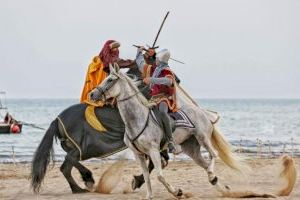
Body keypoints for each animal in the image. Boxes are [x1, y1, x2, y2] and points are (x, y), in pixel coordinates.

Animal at [31, 67, 170, 194]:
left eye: (110, 80)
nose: (92, 94)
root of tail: (58, 119)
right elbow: (155, 163)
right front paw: (138, 181)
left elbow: (156, 162)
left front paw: (138, 181)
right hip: (79, 148)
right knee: (67, 163)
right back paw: (85, 181)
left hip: (73, 148)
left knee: (66, 166)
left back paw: (81, 184)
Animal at [90, 64, 245, 200]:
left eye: (110, 80)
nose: (92, 94)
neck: (137, 119)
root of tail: (203, 112)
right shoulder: (138, 154)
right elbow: (146, 175)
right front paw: (149, 195)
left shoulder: (153, 151)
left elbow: (159, 175)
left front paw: (177, 192)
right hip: (191, 149)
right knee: (206, 166)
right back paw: (220, 186)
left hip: (203, 138)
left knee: (213, 155)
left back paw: (214, 178)